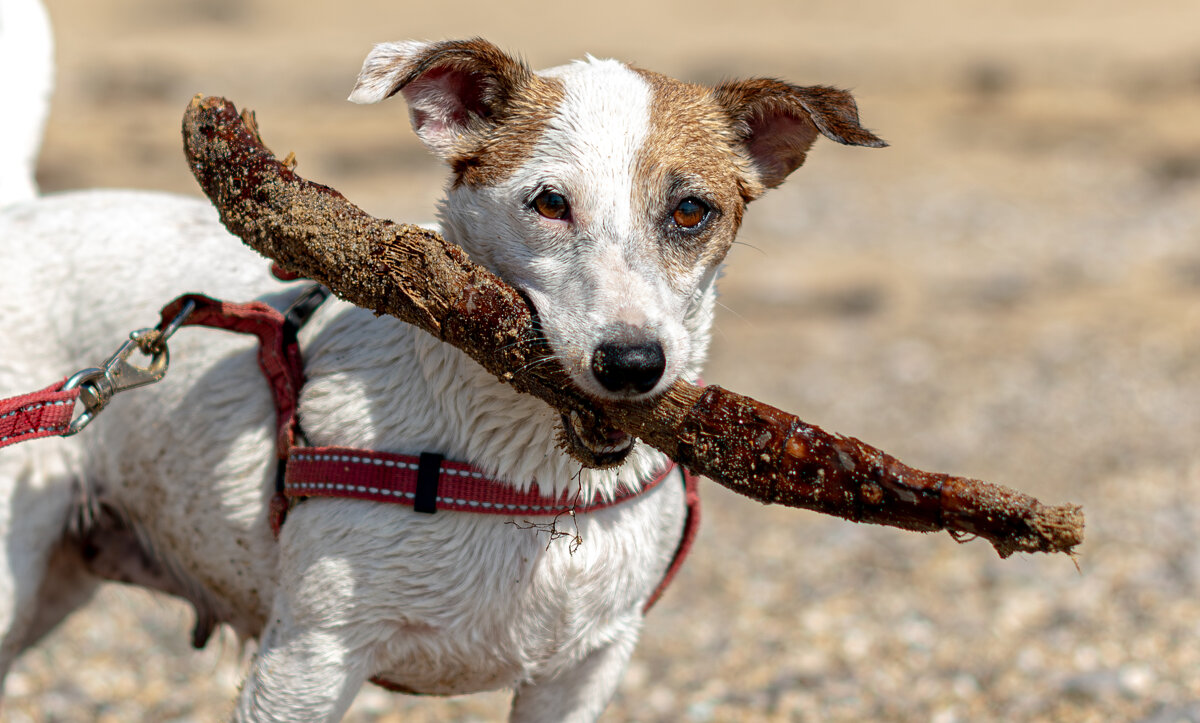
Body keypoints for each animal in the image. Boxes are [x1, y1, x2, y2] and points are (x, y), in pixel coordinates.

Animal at [0, 28, 883, 715]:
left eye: (692, 211)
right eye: (550, 202)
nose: (632, 363)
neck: (531, 480)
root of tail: (21, 213)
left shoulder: (582, 672)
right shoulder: (305, 663)